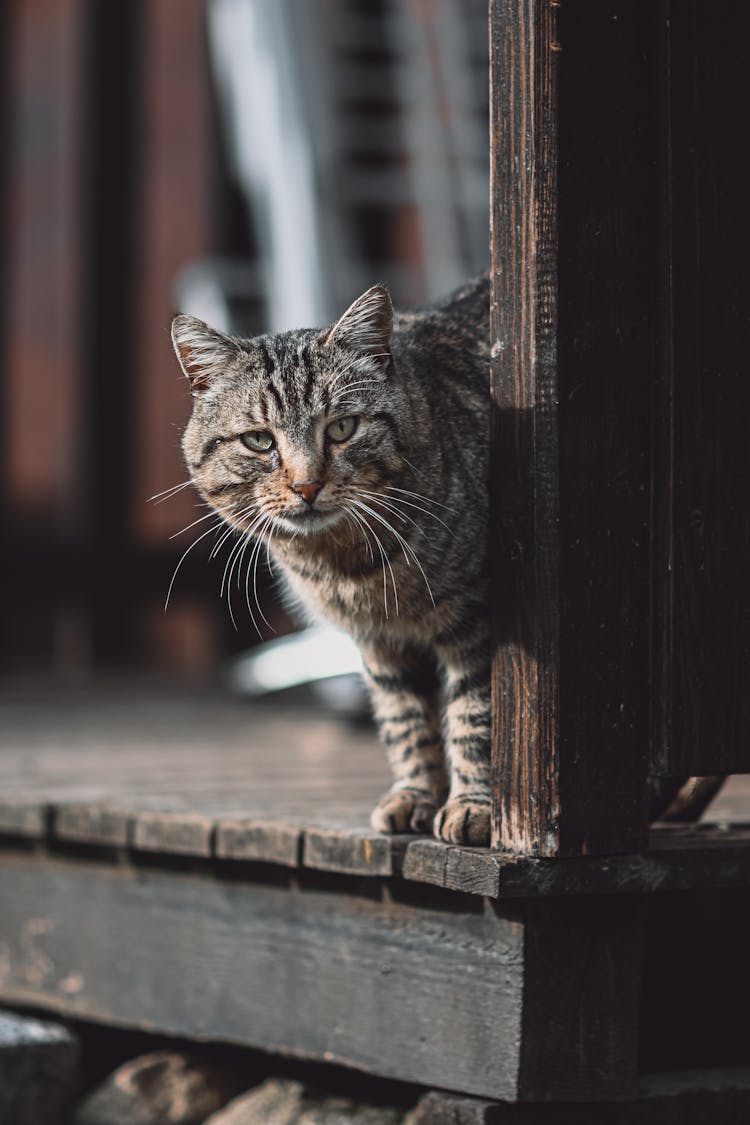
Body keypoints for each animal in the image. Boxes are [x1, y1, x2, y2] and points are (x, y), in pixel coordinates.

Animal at [173, 276, 494, 846]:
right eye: (259, 440)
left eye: (342, 428)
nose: (306, 485)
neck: (349, 567)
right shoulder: (380, 642)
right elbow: (405, 720)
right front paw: (414, 795)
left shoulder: (477, 617)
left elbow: (474, 716)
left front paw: (473, 806)